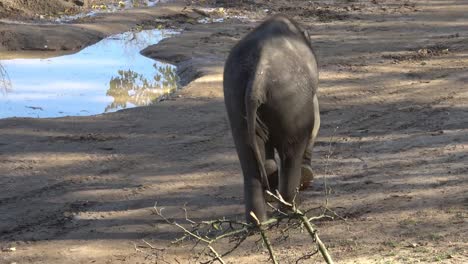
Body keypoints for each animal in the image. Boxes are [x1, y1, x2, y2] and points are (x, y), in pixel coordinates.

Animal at [224, 13, 320, 222]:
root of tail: (258, 77)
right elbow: (316, 117)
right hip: (291, 100)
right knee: (291, 152)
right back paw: (291, 211)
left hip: (236, 98)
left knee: (249, 159)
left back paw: (261, 222)